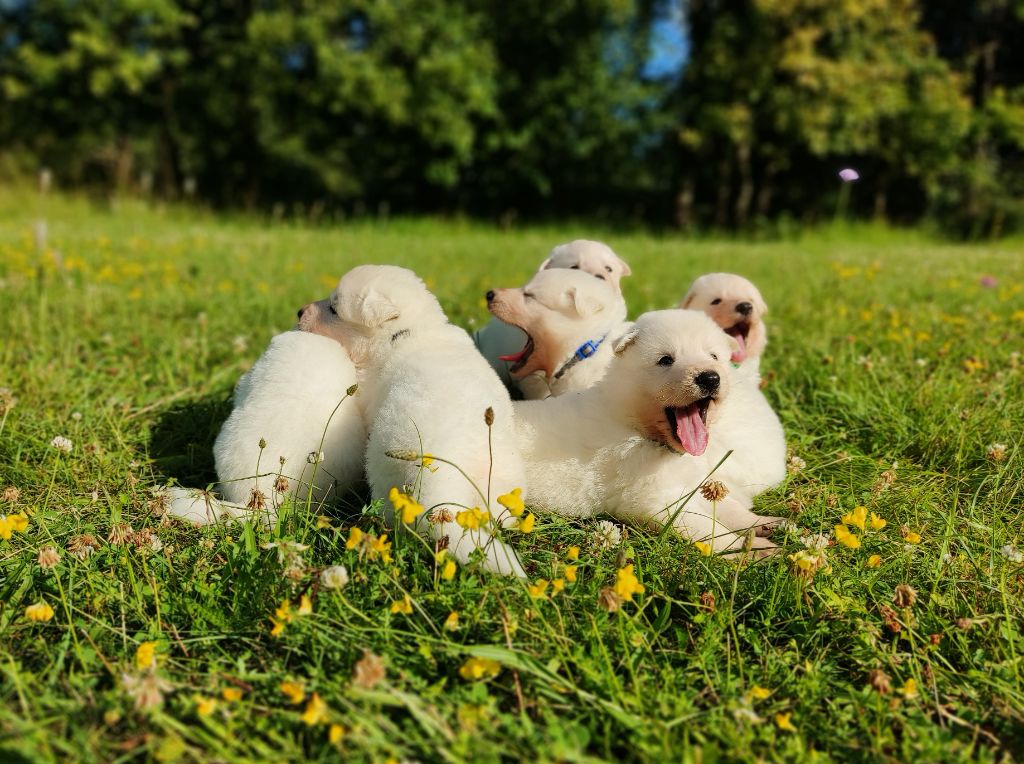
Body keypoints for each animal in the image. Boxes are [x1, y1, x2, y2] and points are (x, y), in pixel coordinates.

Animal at [516, 309, 778, 553]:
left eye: (713, 356)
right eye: (666, 360)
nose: (710, 378)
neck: (637, 427)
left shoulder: (690, 482)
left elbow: (728, 508)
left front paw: (762, 523)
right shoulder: (654, 500)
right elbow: (709, 530)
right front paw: (755, 550)